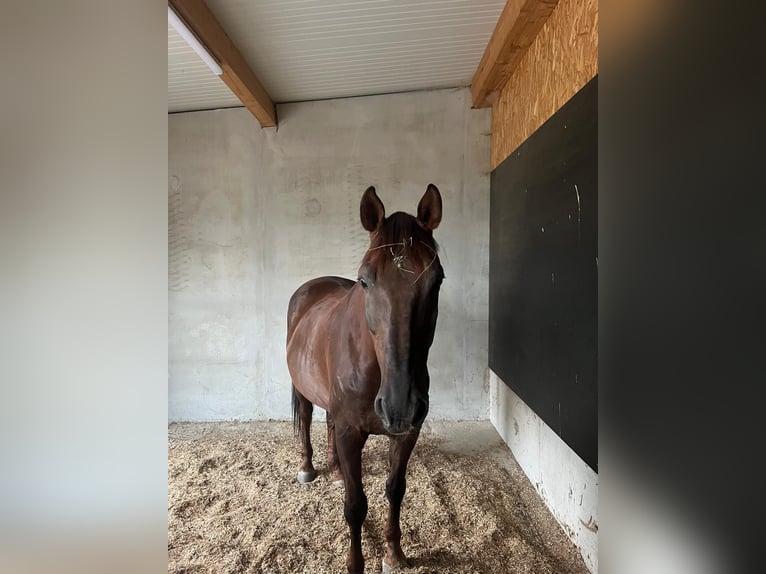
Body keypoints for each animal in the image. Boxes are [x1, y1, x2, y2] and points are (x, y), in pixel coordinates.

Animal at [286, 184, 444, 574]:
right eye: (364, 280)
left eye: (437, 280)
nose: (400, 406)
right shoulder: (350, 431)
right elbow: (356, 506)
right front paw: (355, 563)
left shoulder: (407, 433)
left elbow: (395, 489)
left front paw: (393, 553)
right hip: (303, 390)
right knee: (308, 420)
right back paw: (309, 468)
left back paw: (336, 469)